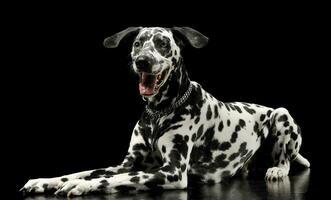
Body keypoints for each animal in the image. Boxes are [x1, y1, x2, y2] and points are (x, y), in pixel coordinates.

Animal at [20, 27, 312, 197]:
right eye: (138, 43)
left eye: (162, 43)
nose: (142, 61)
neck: (159, 112)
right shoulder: (126, 163)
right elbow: (86, 171)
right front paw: (47, 181)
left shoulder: (172, 172)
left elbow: (116, 179)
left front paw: (81, 186)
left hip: (281, 115)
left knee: (285, 161)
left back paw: (277, 170)